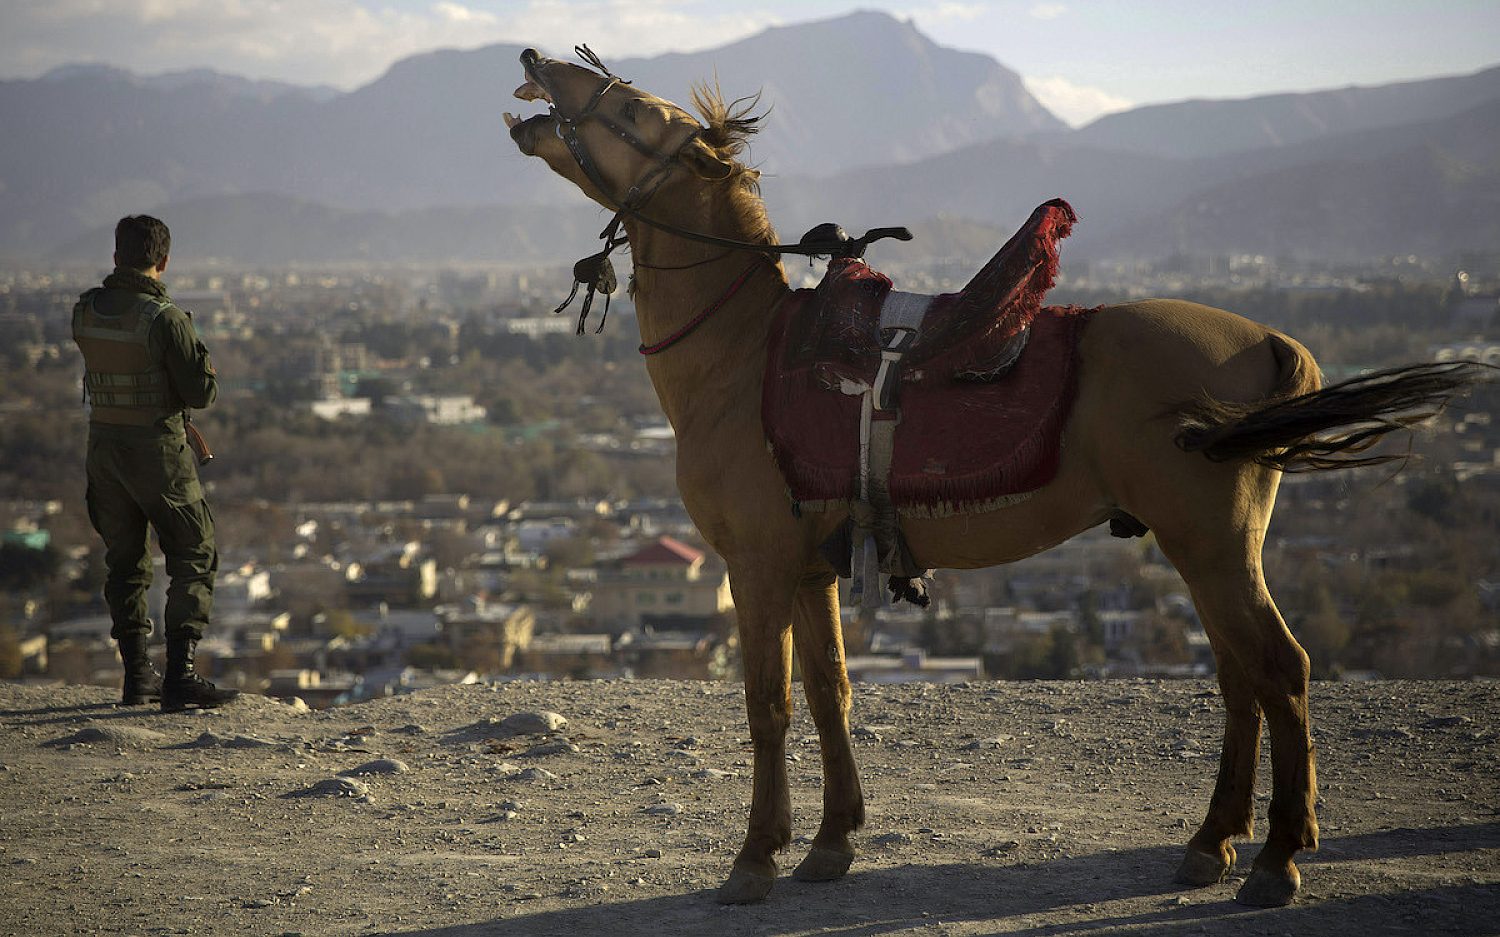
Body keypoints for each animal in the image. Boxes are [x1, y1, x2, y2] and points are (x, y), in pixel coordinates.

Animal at [503, 47, 1485, 908]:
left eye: (636, 112)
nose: (535, 60)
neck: (739, 360)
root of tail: (1273, 341)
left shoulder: (757, 565)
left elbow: (768, 704)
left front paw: (754, 859)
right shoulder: (816, 565)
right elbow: (830, 691)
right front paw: (831, 841)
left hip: (1211, 541)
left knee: (1279, 667)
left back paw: (1278, 857)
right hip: (1202, 545)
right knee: (1241, 674)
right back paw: (1212, 842)